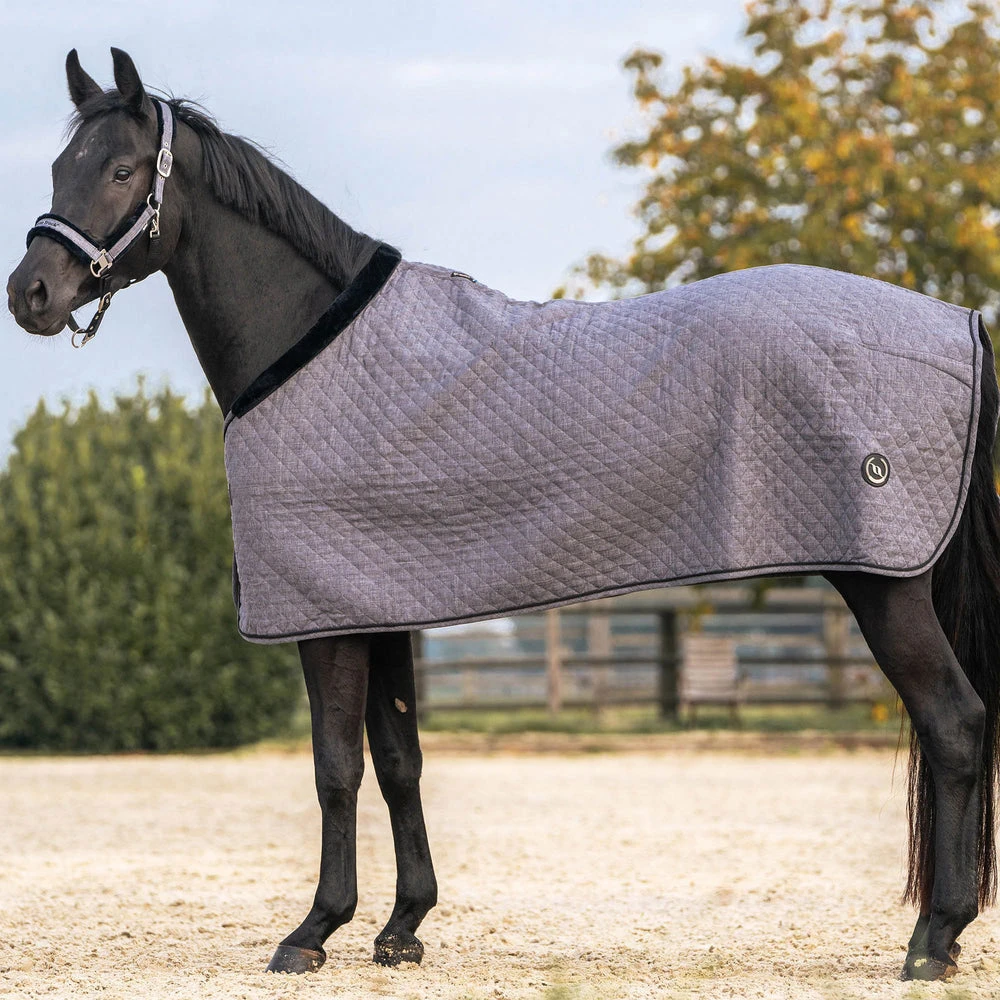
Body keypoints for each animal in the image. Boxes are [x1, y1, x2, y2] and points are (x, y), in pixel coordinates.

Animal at [7, 48, 1000, 984]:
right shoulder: (377, 603)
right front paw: (402, 927)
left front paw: (313, 930)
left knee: (955, 725)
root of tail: (959, 324)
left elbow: (335, 768)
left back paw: (933, 940)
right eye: (59, 165)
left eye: (123, 169)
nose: (30, 295)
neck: (310, 342)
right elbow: (398, 758)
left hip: (886, 584)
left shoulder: (324, 616)